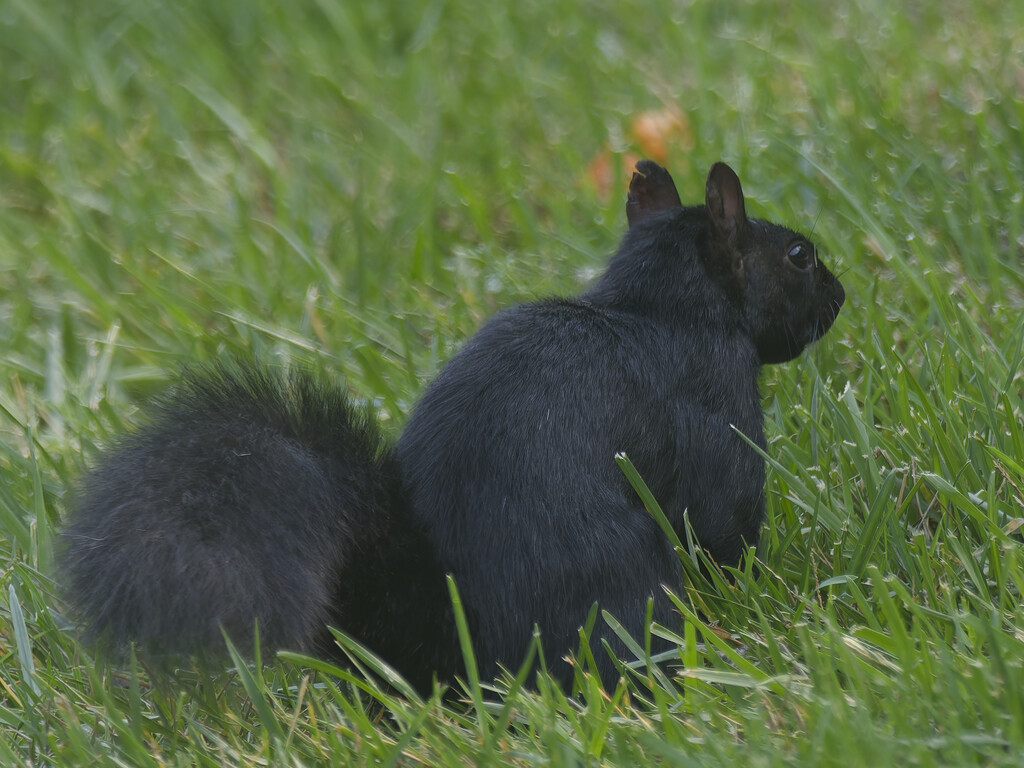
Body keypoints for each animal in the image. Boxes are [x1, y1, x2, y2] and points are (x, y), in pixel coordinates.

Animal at [61, 160, 847, 692]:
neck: (655, 308)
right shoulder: (715, 408)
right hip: (620, 585)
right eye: (799, 255)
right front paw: (757, 588)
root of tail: (441, 651)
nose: (840, 295)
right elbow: (722, 524)